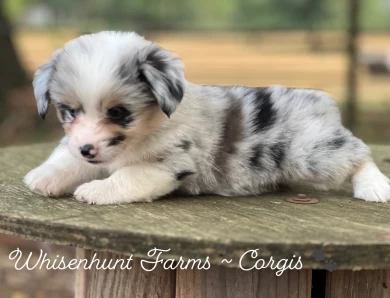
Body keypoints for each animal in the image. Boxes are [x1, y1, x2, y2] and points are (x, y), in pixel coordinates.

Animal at [23, 31, 390, 204]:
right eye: (69, 111)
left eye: (118, 112)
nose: (87, 149)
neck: (148, 127)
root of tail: (320, 98)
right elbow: (67, 157)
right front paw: (44, 177)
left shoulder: (168, 164)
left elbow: (126, 177)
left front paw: (96, 190)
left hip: (311, 152)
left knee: (358, 153)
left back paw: (375, 186)